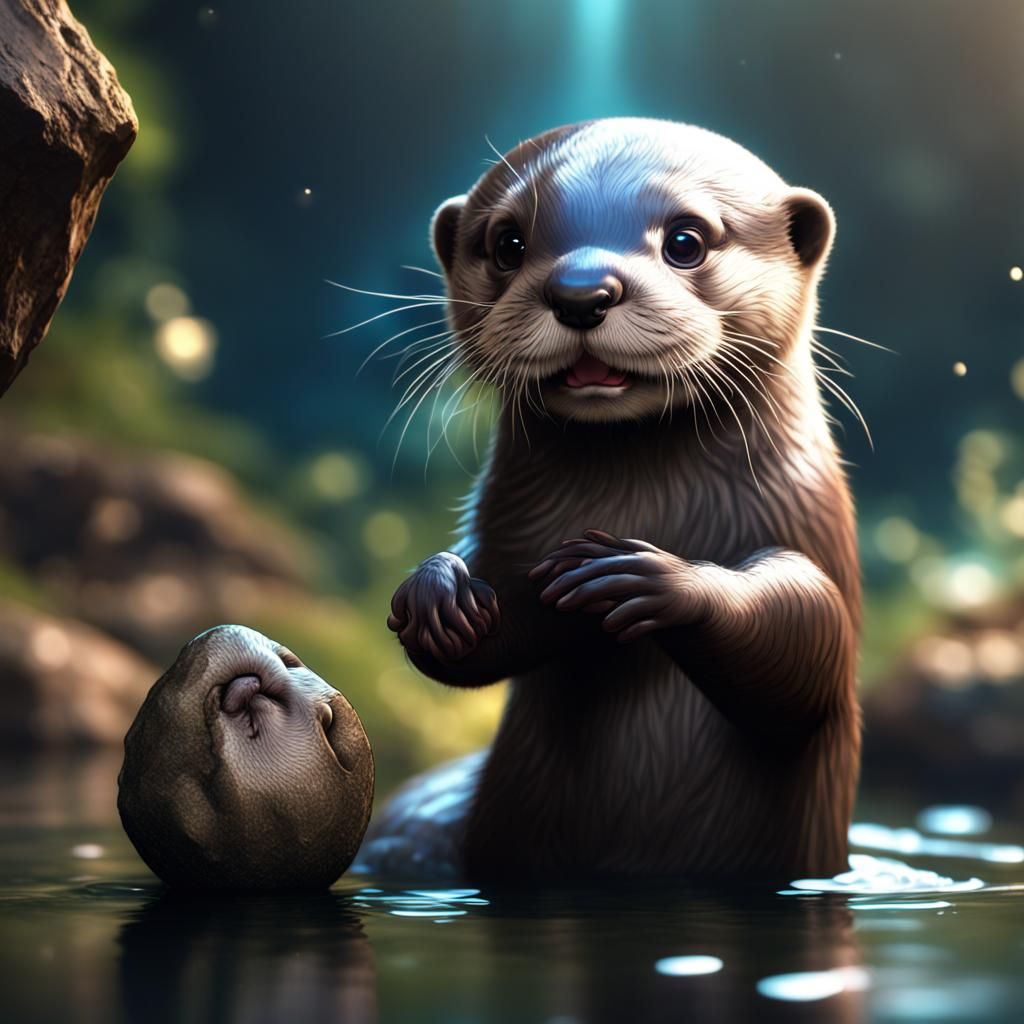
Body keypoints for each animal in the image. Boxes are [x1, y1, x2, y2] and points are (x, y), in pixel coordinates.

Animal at [357, 118, 861, 884]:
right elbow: (499, 632)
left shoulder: (807, 530)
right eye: (507, 243)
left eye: (686, 240)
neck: (645, 506)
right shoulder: (513, 542)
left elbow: (808, 634)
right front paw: (437, 591)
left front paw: (652, 577)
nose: (580, 291)